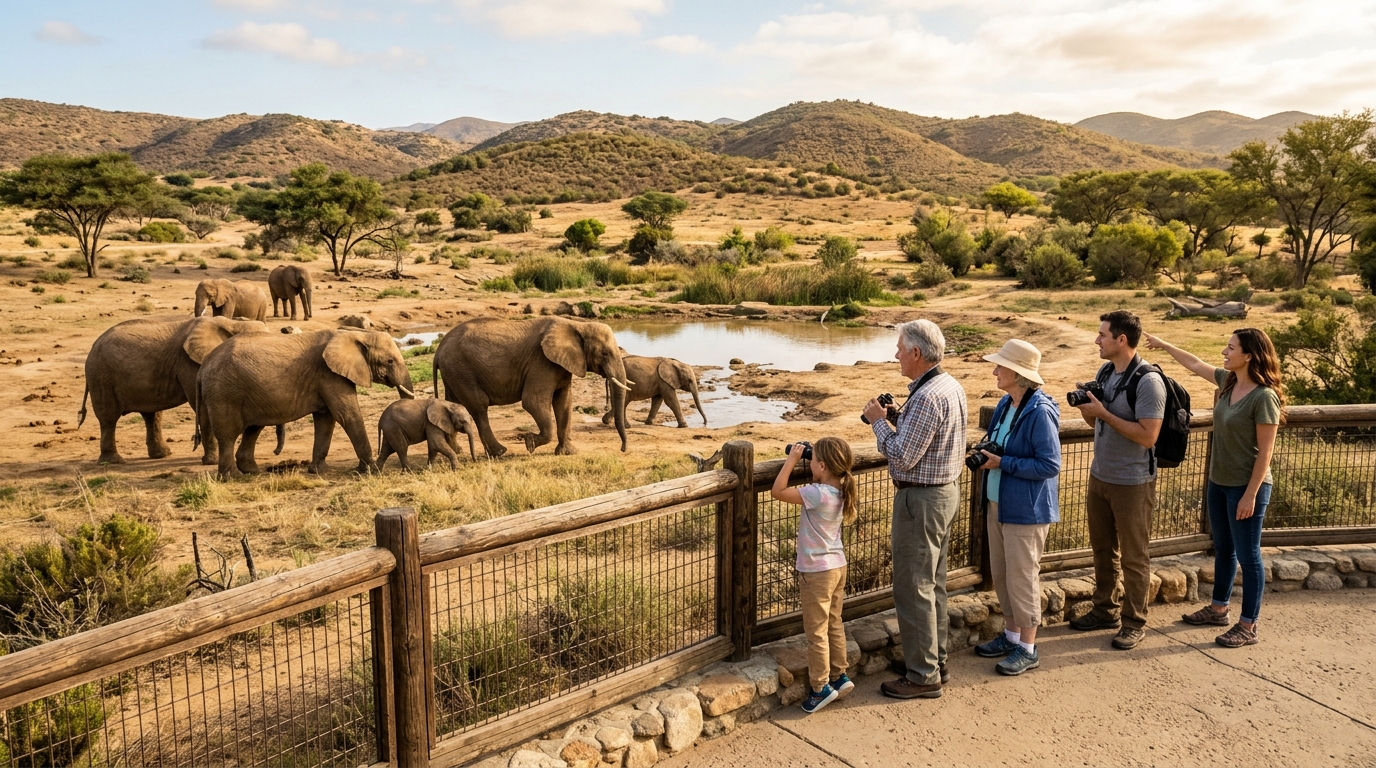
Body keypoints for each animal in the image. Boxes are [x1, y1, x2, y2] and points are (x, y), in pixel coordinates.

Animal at [78, 315, 280, 464]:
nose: (275, 452)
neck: (232, 324)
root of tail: (93, 346)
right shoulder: (189, 364)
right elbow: (202, 407)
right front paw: (211, 462)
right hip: (101, 375)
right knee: (109, 418)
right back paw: (114, 462)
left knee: (152, 415)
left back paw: (162, 455)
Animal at [195, 329, 415, 479]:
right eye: (390, 361)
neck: (356, 334)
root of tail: (203, 366)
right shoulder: (330, 375)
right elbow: (347, 415)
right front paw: (369, 469)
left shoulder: (326, 378)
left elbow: (327, 420)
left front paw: (319, 471)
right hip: (224, 393)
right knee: (228, 434)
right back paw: (233, 477)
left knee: (253, 428)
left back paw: (252, 472)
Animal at [432, 316, 632, 457]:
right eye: (605, 353)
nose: (623, 449)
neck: (577, 325)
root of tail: (438, 350)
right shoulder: (542, 362)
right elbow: (533, 402)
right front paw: (529, 443)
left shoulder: (561, 365)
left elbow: (564, 403)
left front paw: (567, 453)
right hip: (462, 370)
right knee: (479, 406)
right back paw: (499, 452)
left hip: (454, 373)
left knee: (454, 404)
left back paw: (458, 450)